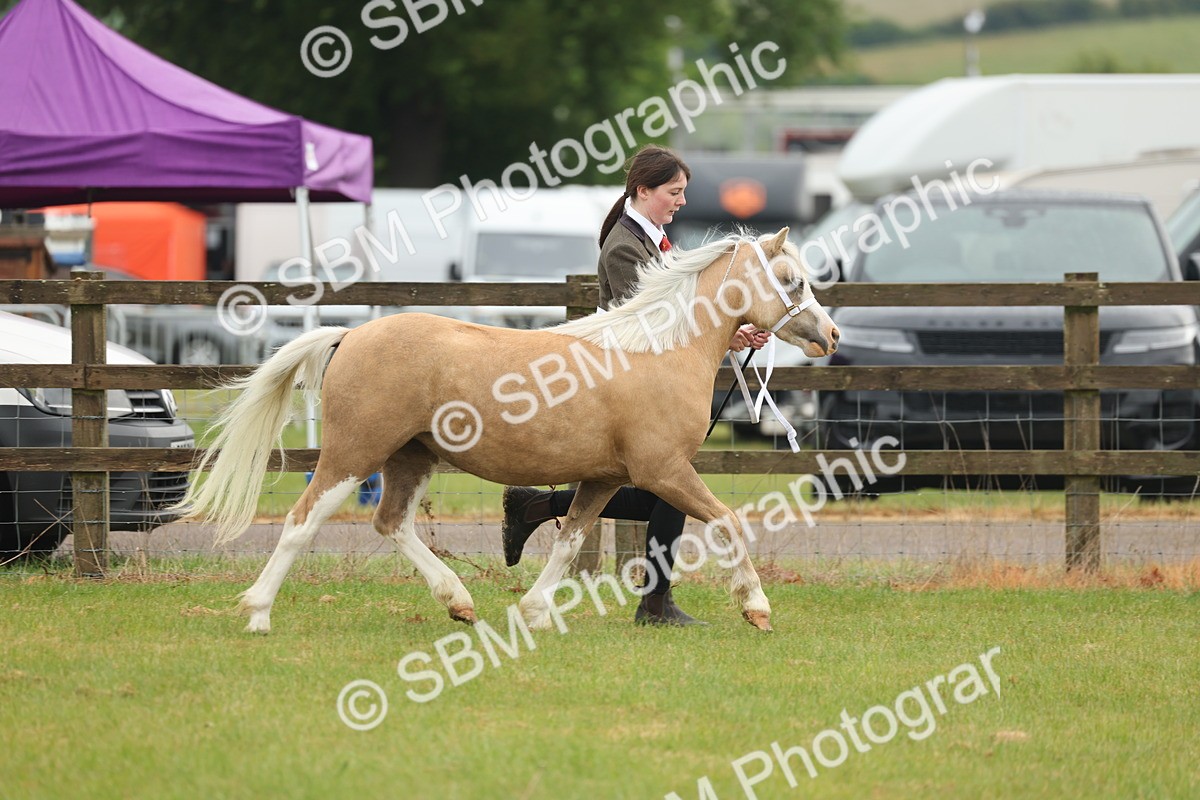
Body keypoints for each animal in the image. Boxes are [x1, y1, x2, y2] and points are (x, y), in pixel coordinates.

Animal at [175, 228, 838, 633]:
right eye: (792, 279)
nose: (829, 336)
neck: (658, 351)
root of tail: (351, 335)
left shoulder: (604, 478)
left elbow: (570, 541)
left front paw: (535, 611)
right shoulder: (665, 471)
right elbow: (728, 522)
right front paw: (757, 608)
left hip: (410, 457)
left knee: (391, 523)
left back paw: (459, 602)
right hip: (353, 453)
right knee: (301, 520)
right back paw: (258, 613)